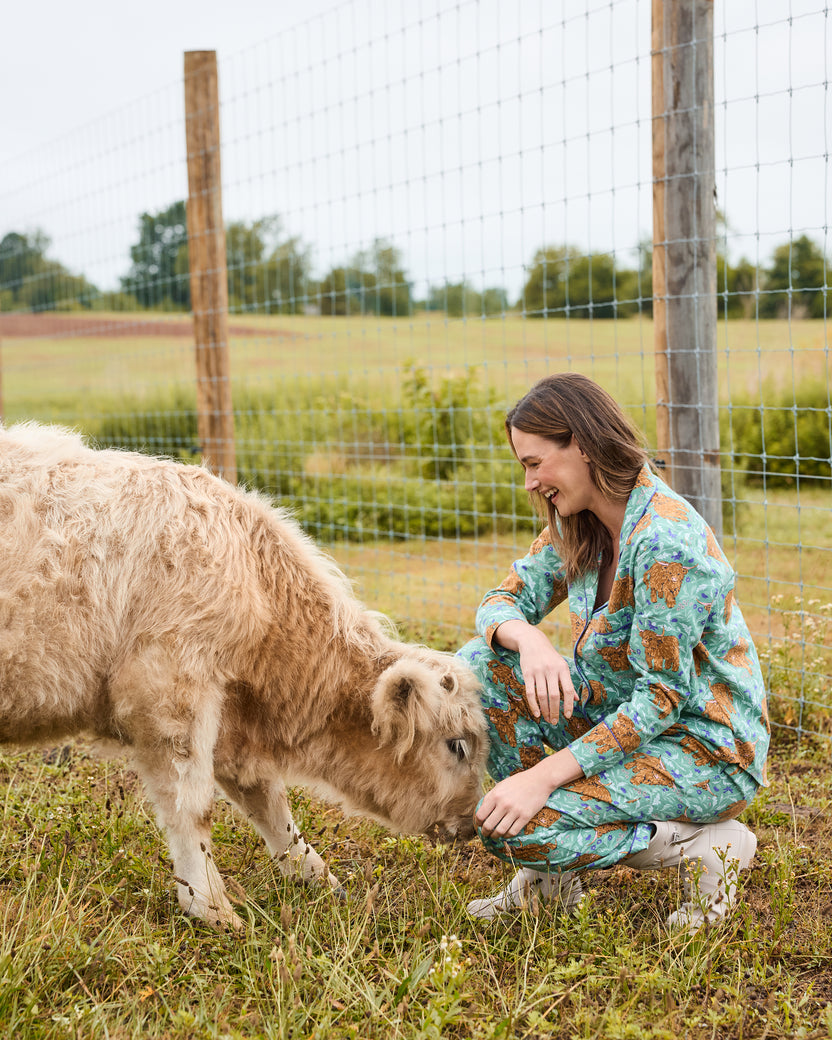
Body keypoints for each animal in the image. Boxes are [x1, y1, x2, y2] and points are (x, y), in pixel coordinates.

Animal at [0, 423, 487, 931]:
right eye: (457, 745)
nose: (472, 824)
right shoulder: (168, 696)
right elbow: (191, 806)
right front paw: (211, 906)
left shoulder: (229, 725)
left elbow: (271, 806)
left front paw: (318, 879)